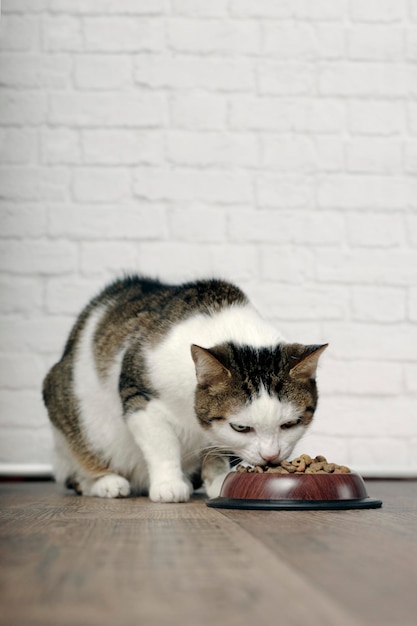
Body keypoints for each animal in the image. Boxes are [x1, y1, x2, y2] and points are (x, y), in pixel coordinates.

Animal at [43, 276, 328, 500]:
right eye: (241, 427)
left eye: (290, 424)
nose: (270, 457)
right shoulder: (139, 396)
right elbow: (162, 444)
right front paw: (169, 485)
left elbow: (217, 447)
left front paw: (219, 481)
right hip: (67, 404)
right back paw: (106, 482)